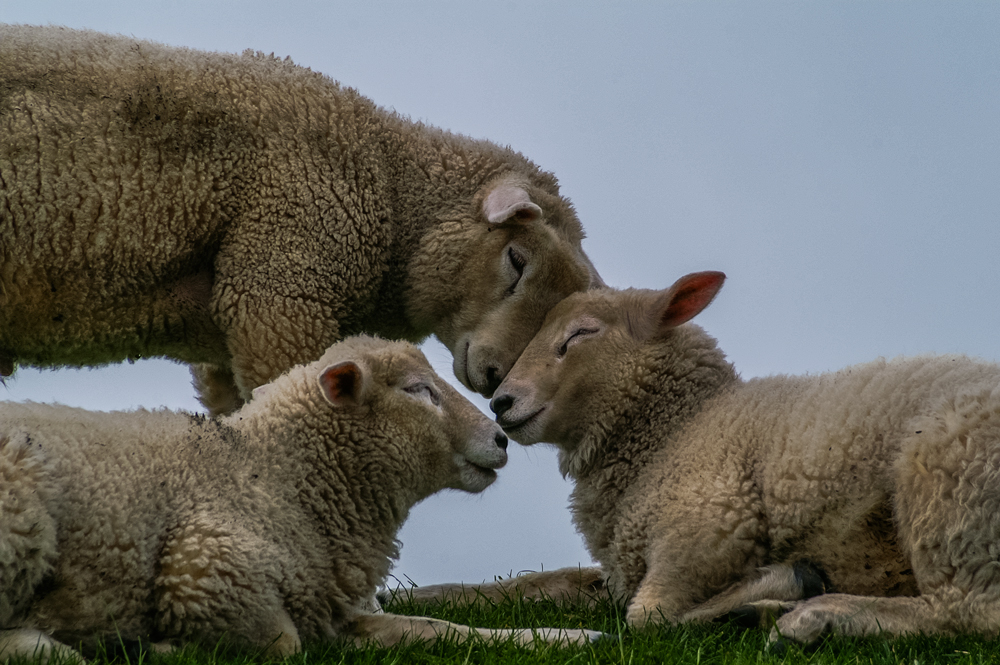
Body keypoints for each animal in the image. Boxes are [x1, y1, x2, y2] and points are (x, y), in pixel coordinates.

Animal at [0, 334, 600, 660]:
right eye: (417, 390)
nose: (499, 438)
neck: (273, 471)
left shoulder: (338, 611)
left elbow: (446, 629)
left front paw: (566, 635)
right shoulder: (201, 563)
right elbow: (283, 645)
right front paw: (165, 648)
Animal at [402, 268, 1000, 644]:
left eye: (581, 334)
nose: (501, 403)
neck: (679, 428)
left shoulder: (712, 527)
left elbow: (649, 617)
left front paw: (774, 591)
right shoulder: (620, 568)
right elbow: (529, 585)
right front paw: (426, 596)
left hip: (948, 488)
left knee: (970, 612)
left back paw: (819, 617)